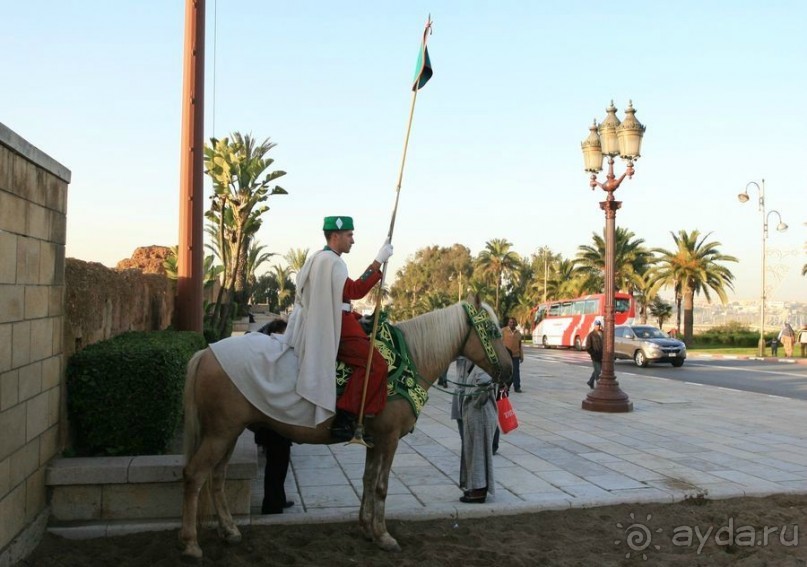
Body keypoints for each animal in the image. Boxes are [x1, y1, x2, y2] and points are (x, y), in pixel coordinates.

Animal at [180, 296, 516, 560]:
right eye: (493, 331)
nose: (510, 371)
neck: (410, 358)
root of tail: (205, 352)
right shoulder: (389, 439)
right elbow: (381, 486)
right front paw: (384, 535)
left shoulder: (372, 439)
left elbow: (367, 480)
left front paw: (367, 528)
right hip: (219, 434)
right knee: (195, 475)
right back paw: (191, 544)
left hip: (228, 433)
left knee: (217, 477)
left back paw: (229, 530)